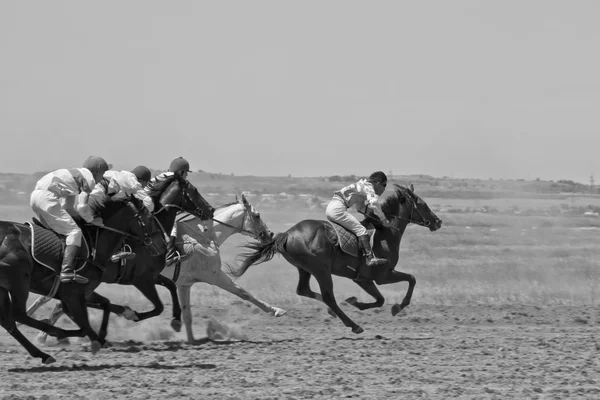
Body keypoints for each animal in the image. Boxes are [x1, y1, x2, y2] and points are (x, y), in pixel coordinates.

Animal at [0, 195, 164, 364]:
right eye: (149, 219)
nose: (162, 245)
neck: (94, 244)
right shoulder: (73, 294)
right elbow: (84, 323)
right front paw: (96, 340)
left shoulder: (83, 292)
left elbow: (104, 305)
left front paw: (106, 333)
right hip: (19, 282)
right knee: (18, 315)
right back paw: (56, 335)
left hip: (5, 288)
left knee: (8, 321)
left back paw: (44, 353)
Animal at [32, 195, 286, 344]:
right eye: (257, 215)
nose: (269, 235)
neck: (203, 236)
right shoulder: (215, 276)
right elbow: (245, 294)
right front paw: (276, 310)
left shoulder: (184, 284)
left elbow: (187, 312)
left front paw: (191, 338)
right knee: (58, 303)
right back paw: (45, 334)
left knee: (54, 301)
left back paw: (43, 329)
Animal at [232, 185, 442, 334]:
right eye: (423, 205)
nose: (438, 222)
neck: (386, 232)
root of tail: (288, 233)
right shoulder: (382, 275)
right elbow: (411, 279)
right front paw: (398, 307)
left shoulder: (363, 279)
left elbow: (381, 299)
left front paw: (355, 302)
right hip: (321, 270)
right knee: (328, 297)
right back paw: (353, 325)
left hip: (305, 268)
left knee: (304, 290)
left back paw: (335, 312)